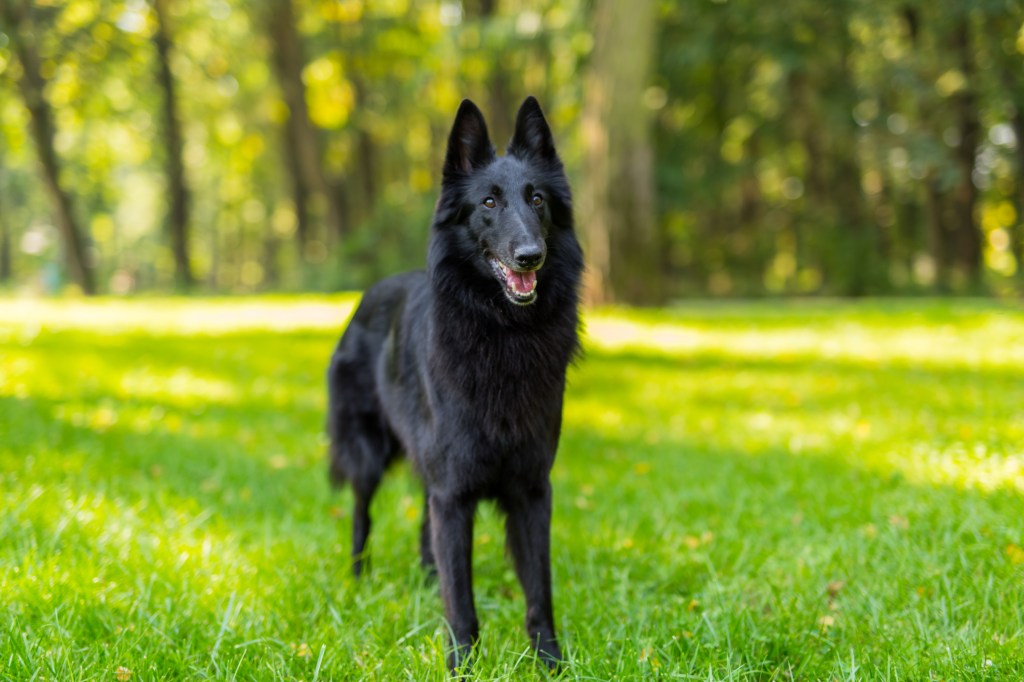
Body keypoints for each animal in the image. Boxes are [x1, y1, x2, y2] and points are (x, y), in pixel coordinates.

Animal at [327, 96, 585, 667]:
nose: (530, 255)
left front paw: (550, 663)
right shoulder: (453, 491)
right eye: (488, 202)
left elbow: (539, 589)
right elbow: (461, 597)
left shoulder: (531, 489)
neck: (503, 333)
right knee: (361, 515)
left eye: (537, 199)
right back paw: (357, 580)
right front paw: (462, 665)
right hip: (369, 456)